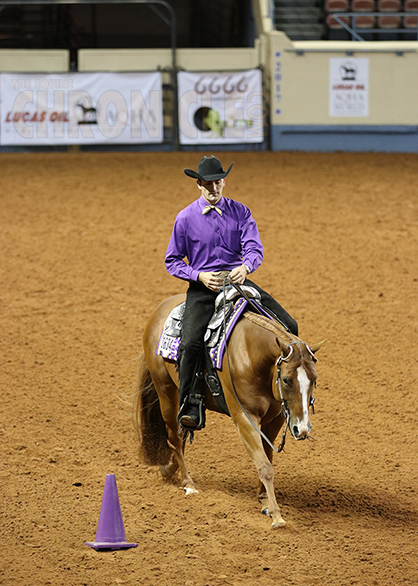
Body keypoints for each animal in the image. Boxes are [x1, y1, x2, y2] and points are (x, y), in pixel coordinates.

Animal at [135, 292, 326, 524]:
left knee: (181, 435)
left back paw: (169, 470)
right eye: (287, 380)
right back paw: (188, 484)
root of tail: (160, 309)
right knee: (175, 438)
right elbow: (264, 465)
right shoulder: (245, 418)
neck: (252, 354)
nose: (302, 429)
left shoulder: (275, 418)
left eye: (314, 379)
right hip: (166, 393)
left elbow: (267, 457)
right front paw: (276, 515)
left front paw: (264, 500)